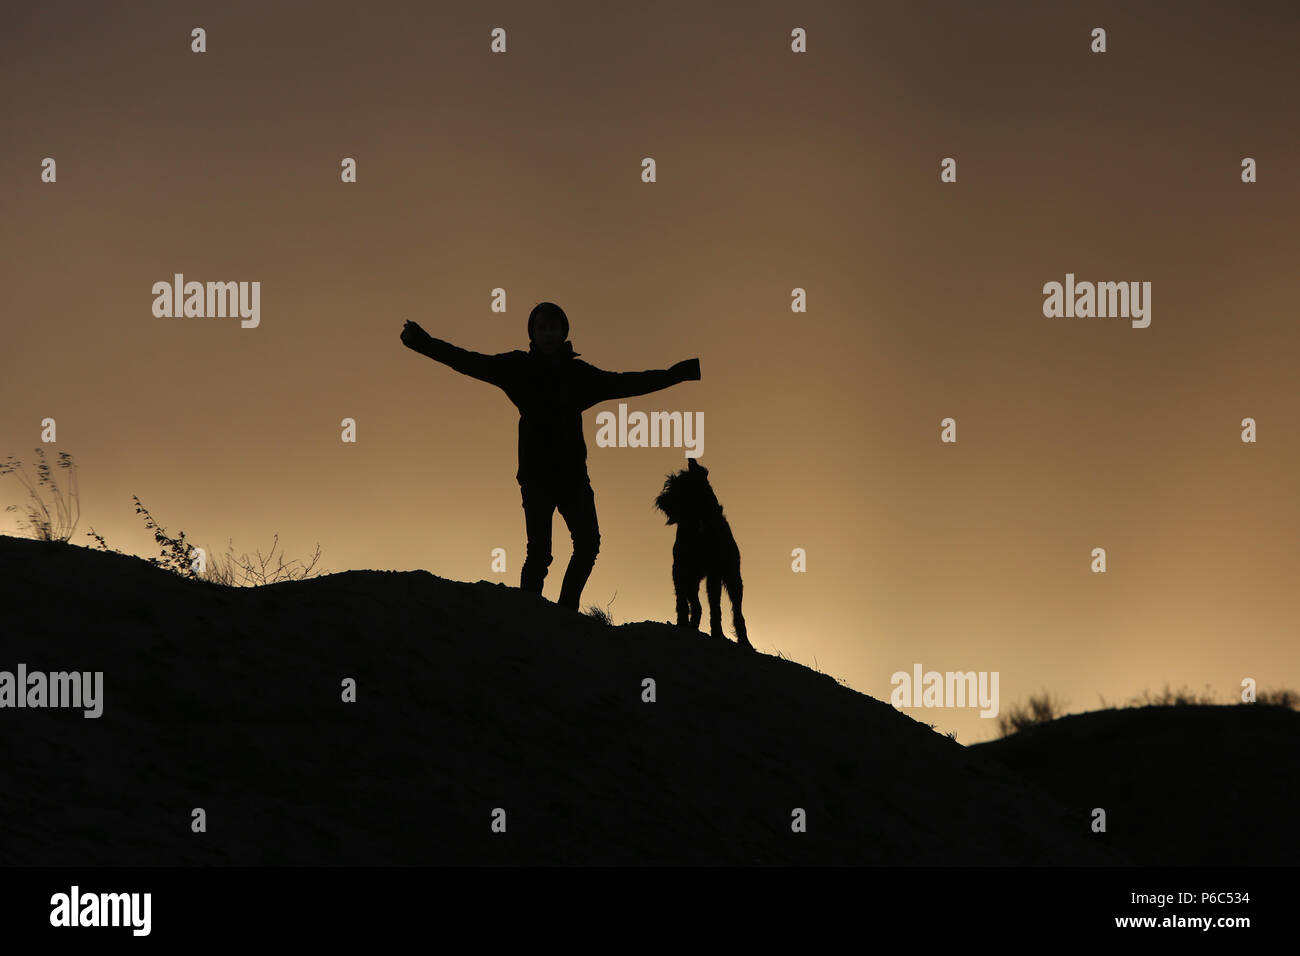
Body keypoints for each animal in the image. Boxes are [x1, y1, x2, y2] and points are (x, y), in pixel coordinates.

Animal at [650, 455, 754, 650]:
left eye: (682, 484)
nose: (661, 500)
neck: (699, 524)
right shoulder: (681, 569)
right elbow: (683, 601)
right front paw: (683, 623)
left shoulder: (715, 573)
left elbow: (715, 606)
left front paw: (717, 633)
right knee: (694, 603)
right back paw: (692, 623)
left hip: (733, 579)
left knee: (737, 610)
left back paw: (745, 640)